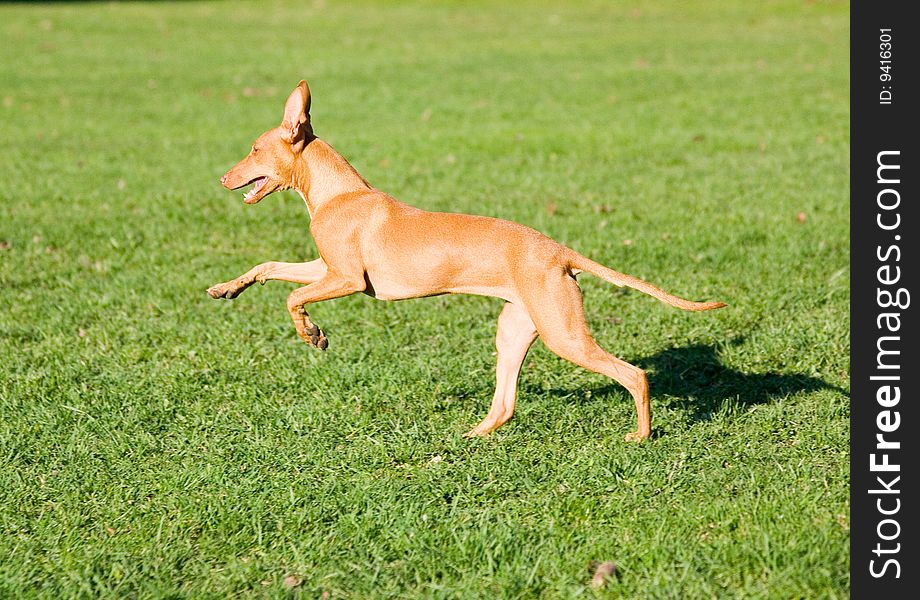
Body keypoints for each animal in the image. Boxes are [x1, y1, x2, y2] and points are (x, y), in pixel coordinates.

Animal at [208, 79, 724, 440]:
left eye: (254, 149)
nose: (221, 178)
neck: (339, 194)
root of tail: (558, 251)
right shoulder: (326, 268)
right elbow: (269, 268)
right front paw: (226, 288)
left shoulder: (348, 279)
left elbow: (292, 298)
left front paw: (312, 335)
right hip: (515, 330)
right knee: (505, 404)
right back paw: (471, 436)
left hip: (563, 334)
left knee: (634, 374)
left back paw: (641, 436)